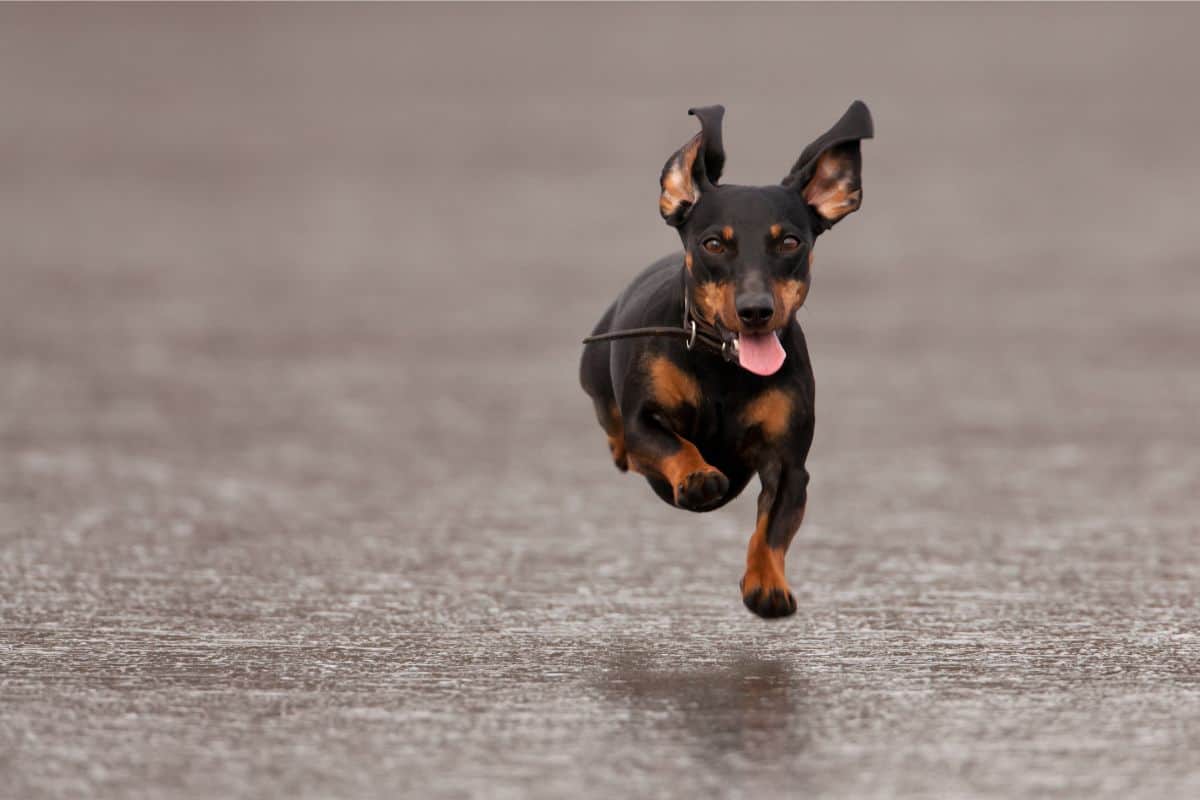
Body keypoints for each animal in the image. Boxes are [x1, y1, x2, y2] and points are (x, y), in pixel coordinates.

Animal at [578, 101, 873, 618]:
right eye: (714, 243)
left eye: (790, 242)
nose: (755, 311)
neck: (725, 366)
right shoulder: (643, 422)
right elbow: (672, 445)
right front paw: (699, 476)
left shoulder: (790, 464)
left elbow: (771, 531)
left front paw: (767, 584)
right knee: (617, 435)